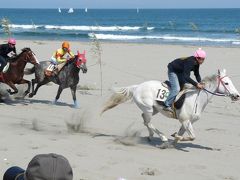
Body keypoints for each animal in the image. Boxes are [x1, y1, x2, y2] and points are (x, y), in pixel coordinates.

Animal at [101, 69, 240, 148]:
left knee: (144, 119)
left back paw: (151, 136)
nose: (237, 95)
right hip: (148, 109)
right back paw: (162, 137)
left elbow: (183, 135)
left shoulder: (186, 122)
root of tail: (137, 86)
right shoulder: (185, 121)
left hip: (154, 109)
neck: (196, 98)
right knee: (148, 122)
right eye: (226, 83)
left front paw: (172, 143)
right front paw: (172, 137)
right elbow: (191, 137)